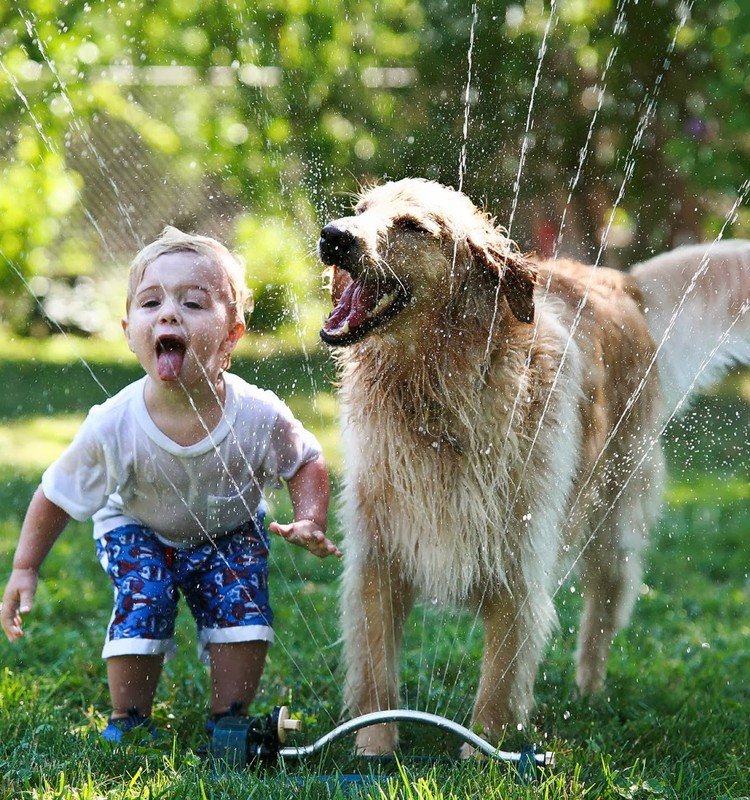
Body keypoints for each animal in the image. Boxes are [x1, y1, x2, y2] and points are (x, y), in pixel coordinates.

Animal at [318, 177, 750, 756]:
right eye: (361, 210)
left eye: (413, 226)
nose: (333, 235)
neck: (437, 397)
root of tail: (617, 280)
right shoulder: (377, 556)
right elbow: (375, 671)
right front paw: (373, 749)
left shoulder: (518, 564)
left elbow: (499, 681)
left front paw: (483, 754)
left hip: (614, 517)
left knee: (604, 611)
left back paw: (588, 692)